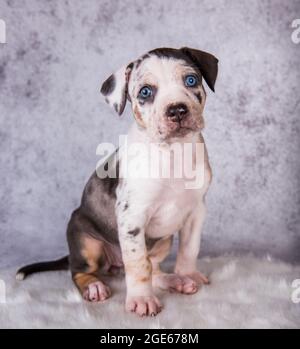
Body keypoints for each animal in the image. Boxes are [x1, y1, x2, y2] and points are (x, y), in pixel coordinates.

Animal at [16, 46, 218, 316]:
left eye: (191, 80)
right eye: (145, 92)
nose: (177, 110)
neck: (173, 152)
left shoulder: (196, 211)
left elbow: (189, 249)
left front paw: (189, 274)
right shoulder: (132, 217)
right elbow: (138, 265)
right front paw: (142, 299)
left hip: (163, 241)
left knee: (154, 268)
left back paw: (175, 280)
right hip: (84, 239)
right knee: (80, 270)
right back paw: (94, 287)